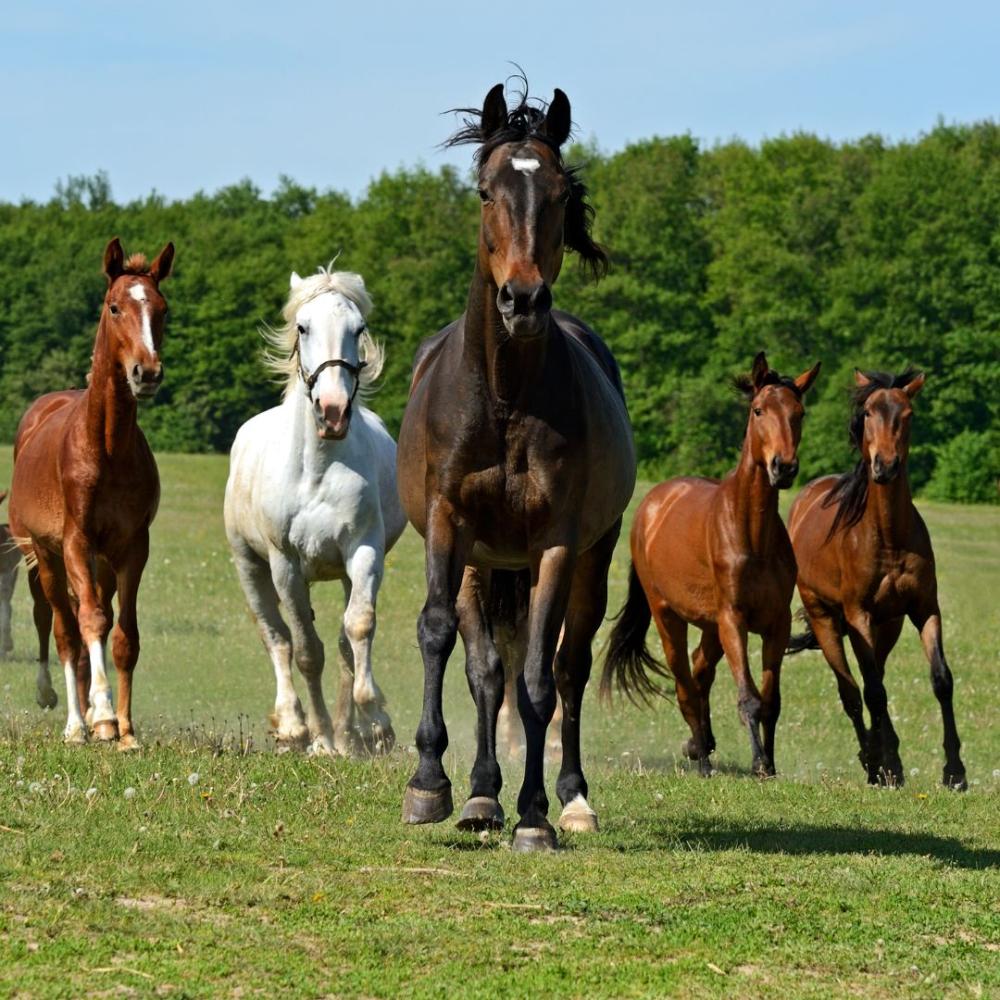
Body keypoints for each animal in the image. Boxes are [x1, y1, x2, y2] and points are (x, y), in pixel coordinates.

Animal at [7, 237, 173, 747]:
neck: (107, 449)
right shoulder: (76, 542)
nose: (146, 372)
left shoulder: (132, 547)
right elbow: (90, 623)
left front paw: (126, 729)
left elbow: (124, 636)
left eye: (162, 309)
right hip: (44, 556)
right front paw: (99, 713)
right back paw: (75, 721)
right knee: (62, 627)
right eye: (115, 306)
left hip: (99, 565)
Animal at [224, 265, 405, 756]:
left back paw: (349, 734)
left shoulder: (363, 551)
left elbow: (357, 629)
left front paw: (372, 724)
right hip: (251, 569)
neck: (318, 468)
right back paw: (295, 726)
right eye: (303, 327)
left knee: (343, 642)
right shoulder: (285, 564)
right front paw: (320, 739)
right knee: (277, 638)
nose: (334, 411)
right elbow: (306, 651)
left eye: (358, 329)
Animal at [396, 80, 636, 851]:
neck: (502, 399)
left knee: (565, 667)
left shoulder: (558, 543)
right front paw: (431, 785)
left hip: (587, 557)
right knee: (485, 670)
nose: (523, 299)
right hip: (483, 560)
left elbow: (540, 677)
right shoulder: (450, 523)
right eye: (484, 191)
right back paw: (479, 795)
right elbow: (441, 635)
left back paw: (570, 798)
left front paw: (533, 814)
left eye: (560, 194)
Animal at [602, 353, 820, 777]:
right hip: (668, 616)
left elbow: (771, 700)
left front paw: (770, 764)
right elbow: (749, 697)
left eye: (799, 412)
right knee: (686, 684)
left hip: (708, 626)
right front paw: (757, 762)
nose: (783, 467)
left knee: (700, 672)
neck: (751, 533)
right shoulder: (733, 619)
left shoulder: (776, 624)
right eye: (758, 410)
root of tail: (651, 506)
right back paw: (702, 757)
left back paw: (699, 743)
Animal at [786, 369, 967, 789]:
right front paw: (884, 765)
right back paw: (874, 761)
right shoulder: (859, 616)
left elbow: (941, 680)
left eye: (908, 414)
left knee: (874, 682)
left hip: (888, 626)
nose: (885, 466)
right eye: (868, 413)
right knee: (853, 692)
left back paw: (885, 758)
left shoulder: (923, 609)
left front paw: (954, 771)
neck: (887, 536)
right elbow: (872, 693)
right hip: (828, 620)